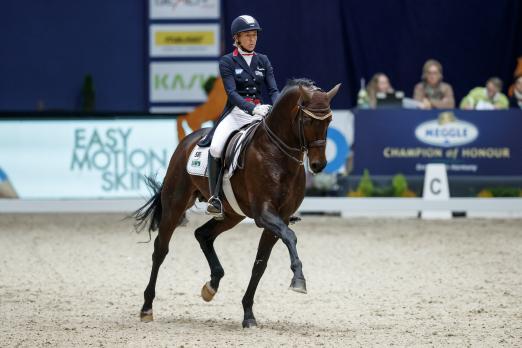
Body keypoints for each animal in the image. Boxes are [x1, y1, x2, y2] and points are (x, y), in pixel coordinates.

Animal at [132, 77, 340, 328]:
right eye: (308, 119)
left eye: (329, 120)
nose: (319, 165)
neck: (277, 153)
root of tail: (188, 140)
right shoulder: (264, 214)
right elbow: (290, 237)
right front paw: (298, 280)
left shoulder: (279, 218)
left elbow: (260, 264)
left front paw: (248, 314)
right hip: (175, 204)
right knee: (161, 249)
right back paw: (146, 307)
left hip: (231, 214)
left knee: (203, 235)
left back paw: (211, 286)